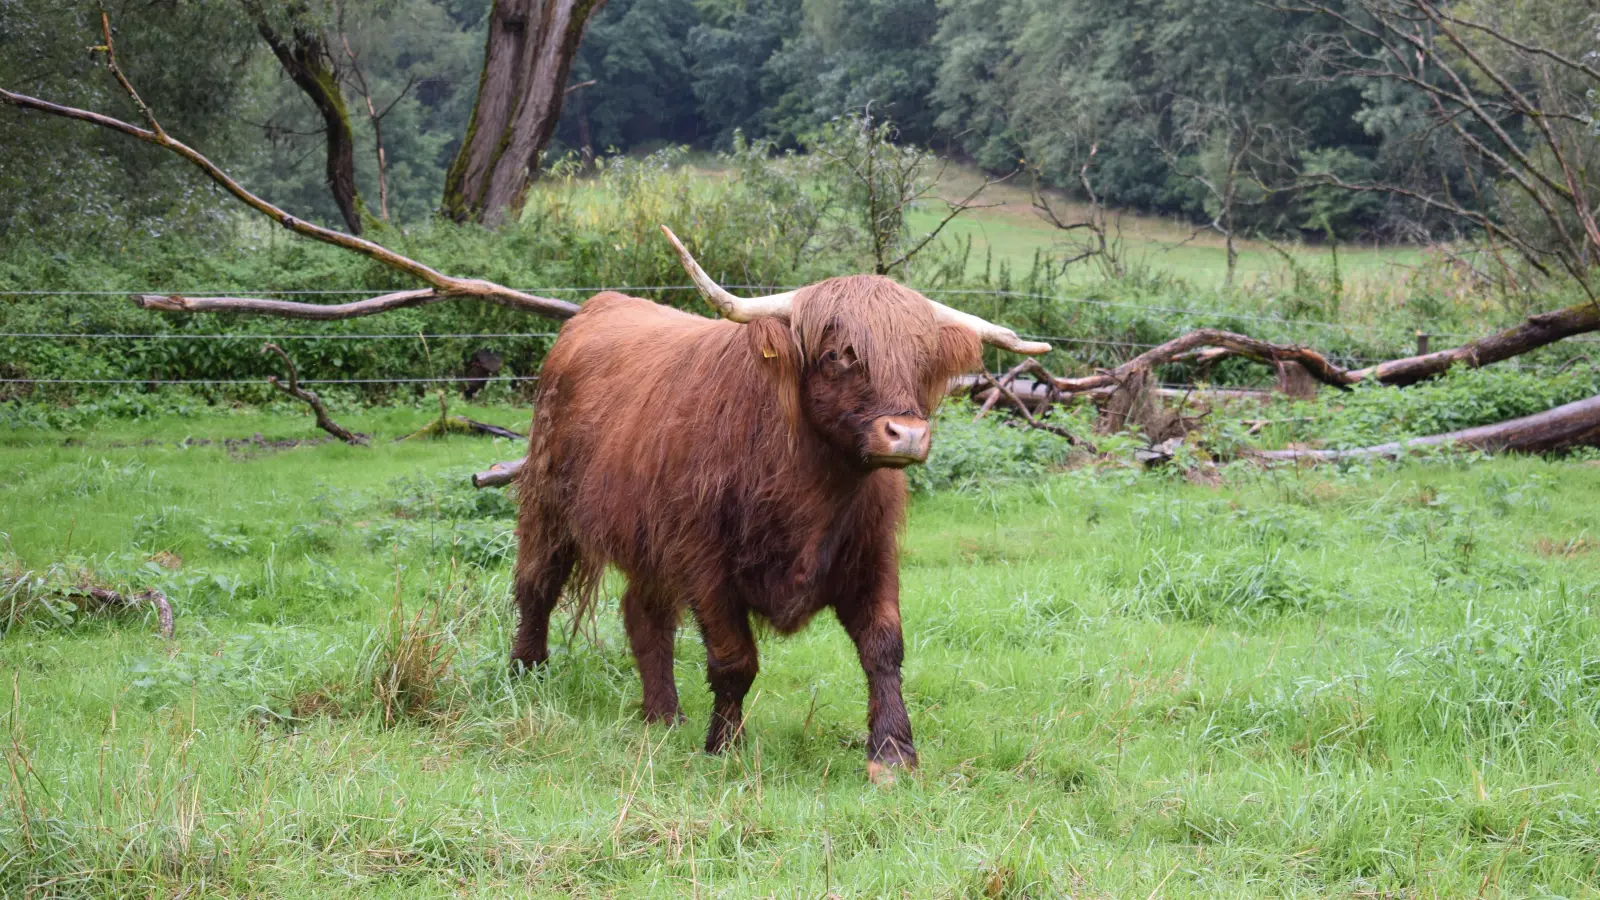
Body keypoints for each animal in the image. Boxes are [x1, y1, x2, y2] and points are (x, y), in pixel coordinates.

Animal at [512, 225, 1049, 778]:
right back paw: (526, 675)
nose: (907, 435)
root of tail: (599, 306)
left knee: (644, 614)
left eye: (921, 362)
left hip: (649, 538)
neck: (810, 491)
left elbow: (884, 647)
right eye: (838, 355)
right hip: (548, 503)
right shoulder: (706, 563)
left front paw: (893, 752)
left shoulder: (873, 552)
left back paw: (663, 714)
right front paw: (725, 745)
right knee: (538, 584)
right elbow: (734, 660)